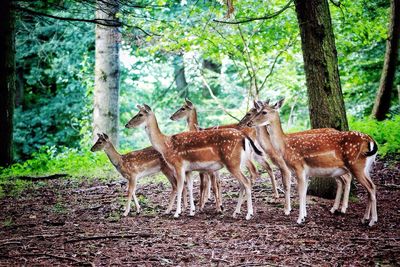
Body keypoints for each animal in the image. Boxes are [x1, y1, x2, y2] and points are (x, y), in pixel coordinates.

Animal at [125, 104, 262, 220]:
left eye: (140, 114)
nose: (127, 124)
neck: (166, 145)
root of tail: (244, 137)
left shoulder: (178, 165)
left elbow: (180, 187)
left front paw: (177, 213)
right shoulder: (188, 169)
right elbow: (190, 187)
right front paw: (191, 211)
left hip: (232, 162)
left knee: (246, 182)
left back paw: (249, 214)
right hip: (239, 162)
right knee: (243, 183)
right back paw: (235, 213)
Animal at [247, 99, 378, 227]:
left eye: (263, 112)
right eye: (258, 111)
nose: (249, 123)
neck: (284, 146)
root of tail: (371, 141)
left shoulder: (298, 166)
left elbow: (299, 191)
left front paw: (298, 218)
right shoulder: (305, 171)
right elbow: (304, 191)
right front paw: (304, 216)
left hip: (356, 165)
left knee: (370, 187)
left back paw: (371, 220)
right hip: (363, 168)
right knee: (368, 186)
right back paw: (363, 218)